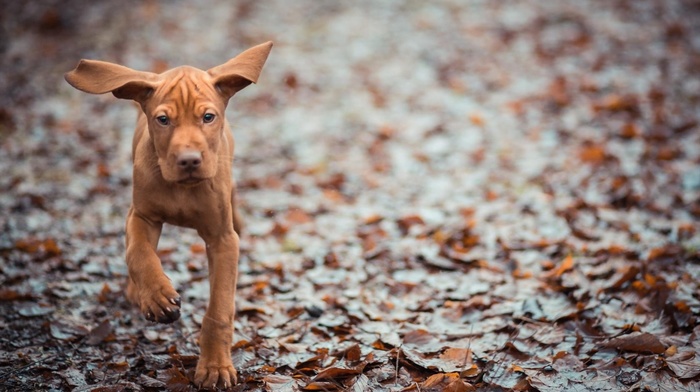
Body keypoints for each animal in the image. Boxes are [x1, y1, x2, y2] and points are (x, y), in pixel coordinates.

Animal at [65, 41, 274, 388]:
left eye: (208, 117)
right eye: (163, 120)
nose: (189, 160)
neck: (182, 189)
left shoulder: (222, 239)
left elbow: (219, 308)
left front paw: (215, 367)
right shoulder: (141, 216)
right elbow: (138, 254)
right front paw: (157, 296)